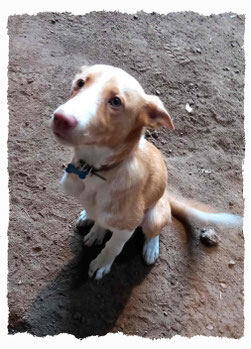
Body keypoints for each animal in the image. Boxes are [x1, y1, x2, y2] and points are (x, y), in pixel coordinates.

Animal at [50, 64, 241, 278]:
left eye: (116, 101)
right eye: (80, 82)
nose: (61, 118)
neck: (96, 170)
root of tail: (166, 196)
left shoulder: (128, 226)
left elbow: (113, 246)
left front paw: (101, 263)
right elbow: (101, 220)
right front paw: (97, 231)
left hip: (154, 218)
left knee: (154, 232)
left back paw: (150, 248)